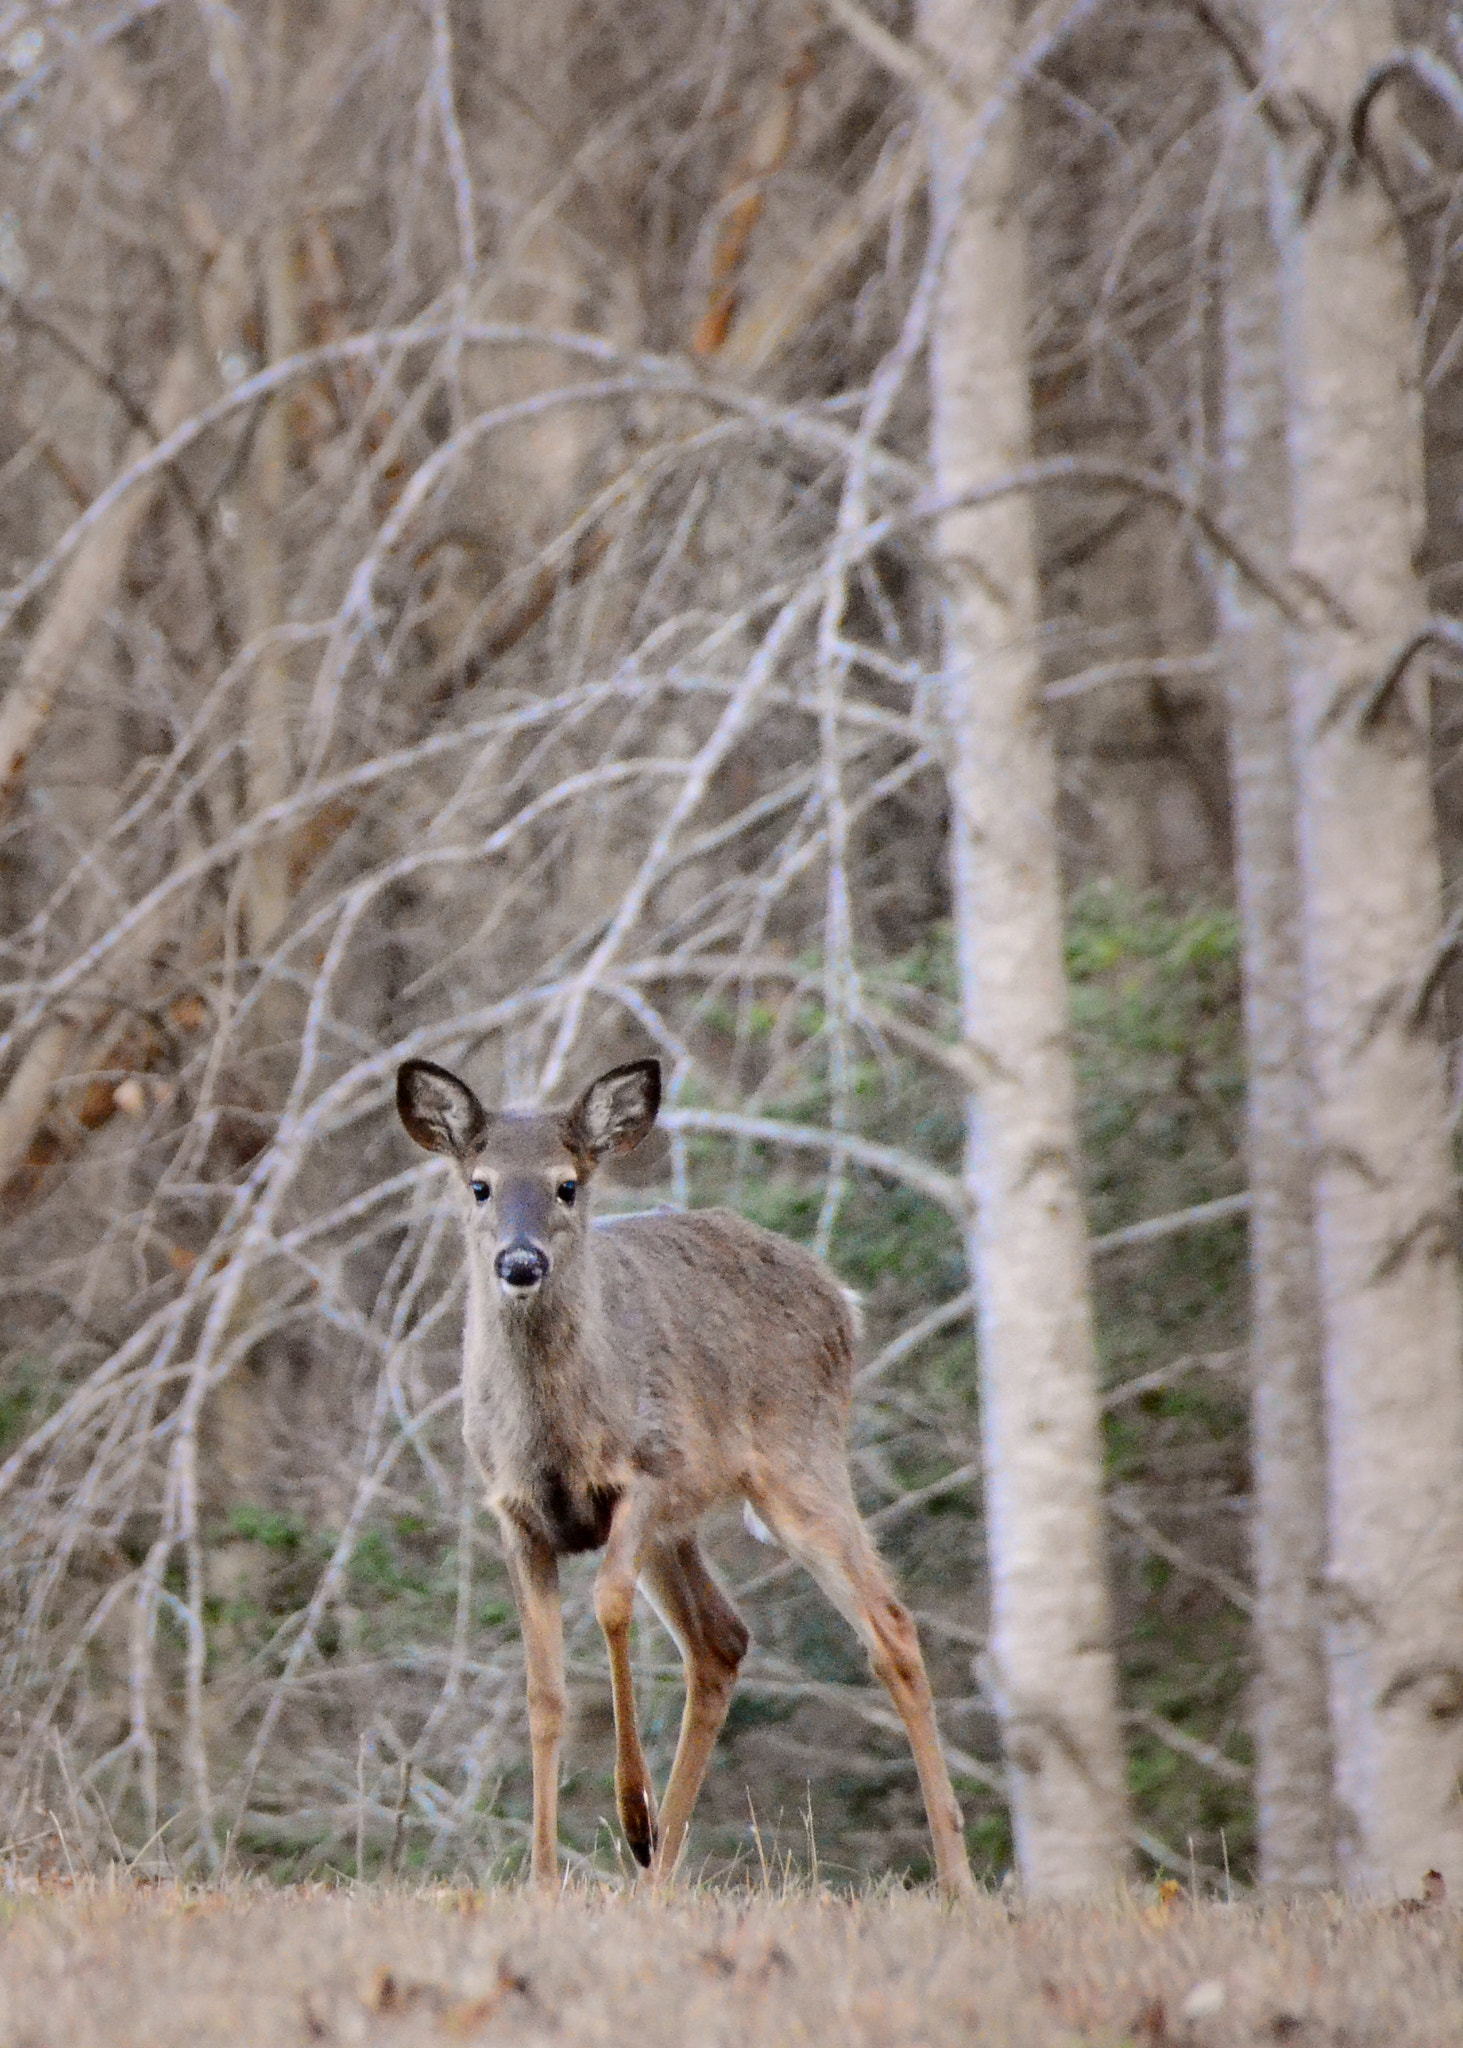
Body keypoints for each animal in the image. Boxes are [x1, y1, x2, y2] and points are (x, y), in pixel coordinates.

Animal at [396, 1052, 975, 1900]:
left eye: (566, 1184)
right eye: (480, 1185)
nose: (520, 1262)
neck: (558, 1437)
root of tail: (841, 1297)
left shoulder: (653, 1474)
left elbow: (607, 1603)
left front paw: (631, 1814)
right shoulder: (517, 1517)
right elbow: (543, 1692)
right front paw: (543, 1877)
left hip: (797, 1459)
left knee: (889, 1627)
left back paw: (954, 1876)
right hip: (693, 1527)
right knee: (721, 1640)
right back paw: (656, 1878)